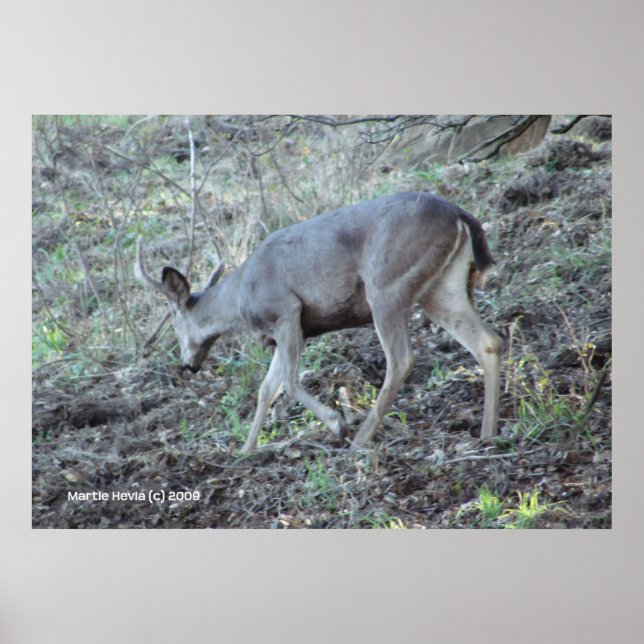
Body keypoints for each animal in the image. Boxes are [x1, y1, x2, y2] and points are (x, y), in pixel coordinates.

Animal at [135, 191, 502, 453]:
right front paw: (245, 449)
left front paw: (336, 422)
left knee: (401, 359)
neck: (240, 296)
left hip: (386, 283)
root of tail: (459, 215)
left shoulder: (286, 310)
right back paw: (488, 433)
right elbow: (266, 389)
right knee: (489, 341)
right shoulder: (285, 328)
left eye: (174, 321)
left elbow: (288, 382)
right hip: (443, 287)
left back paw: (360, 438)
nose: (188, 365)